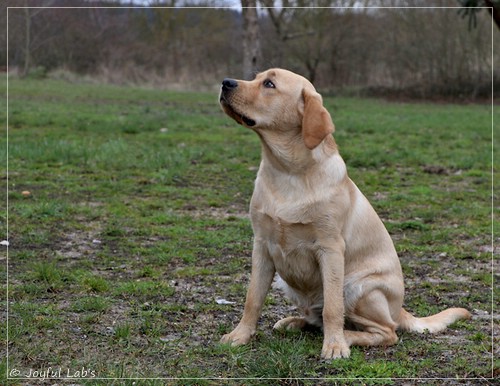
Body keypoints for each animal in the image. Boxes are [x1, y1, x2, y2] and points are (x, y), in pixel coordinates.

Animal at [218, 68, 468, 358]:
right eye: (256, 78)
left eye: (269, 84)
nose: (225, 82)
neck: (286, 171)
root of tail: (400, 310)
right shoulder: (261, 245)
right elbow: (253, 298)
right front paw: (240, 335)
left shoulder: (330, 248)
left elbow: (332, 308)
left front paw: (335, 345)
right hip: (289, 282)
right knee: (316, 317)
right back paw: (293, 322)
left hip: (359, 287)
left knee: (387, 332)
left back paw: (347, 336)